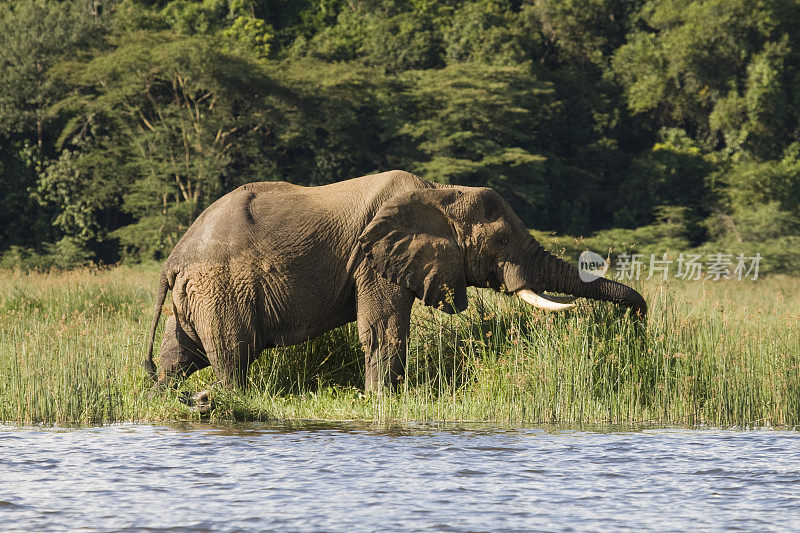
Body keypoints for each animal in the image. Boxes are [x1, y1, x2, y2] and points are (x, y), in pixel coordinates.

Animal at [142, 170, 644, 390]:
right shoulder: (372, 260)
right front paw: (385, 401)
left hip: (197, 292)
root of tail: (172, 262)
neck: (439, 192)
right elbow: (383, 329)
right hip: (221, 287)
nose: (638, 325)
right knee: (231, 353)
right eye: (501, 240)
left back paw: (163, 399)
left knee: (179, 353)